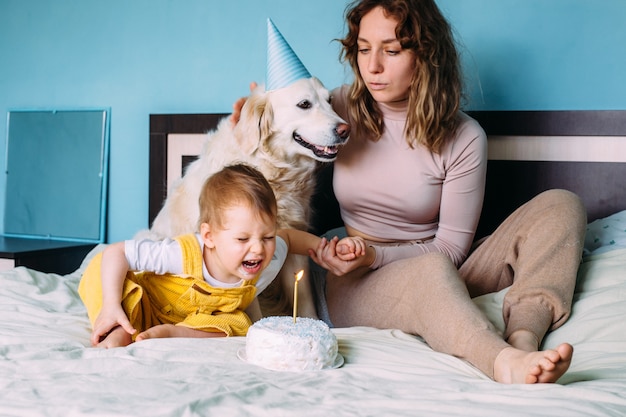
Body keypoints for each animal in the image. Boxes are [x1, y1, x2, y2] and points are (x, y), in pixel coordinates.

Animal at [136, 75, 348, 316]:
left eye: (330, 100)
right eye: (304, 104)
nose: (345, 130)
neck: (272, 169)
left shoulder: (294, 244)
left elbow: (305, 301)